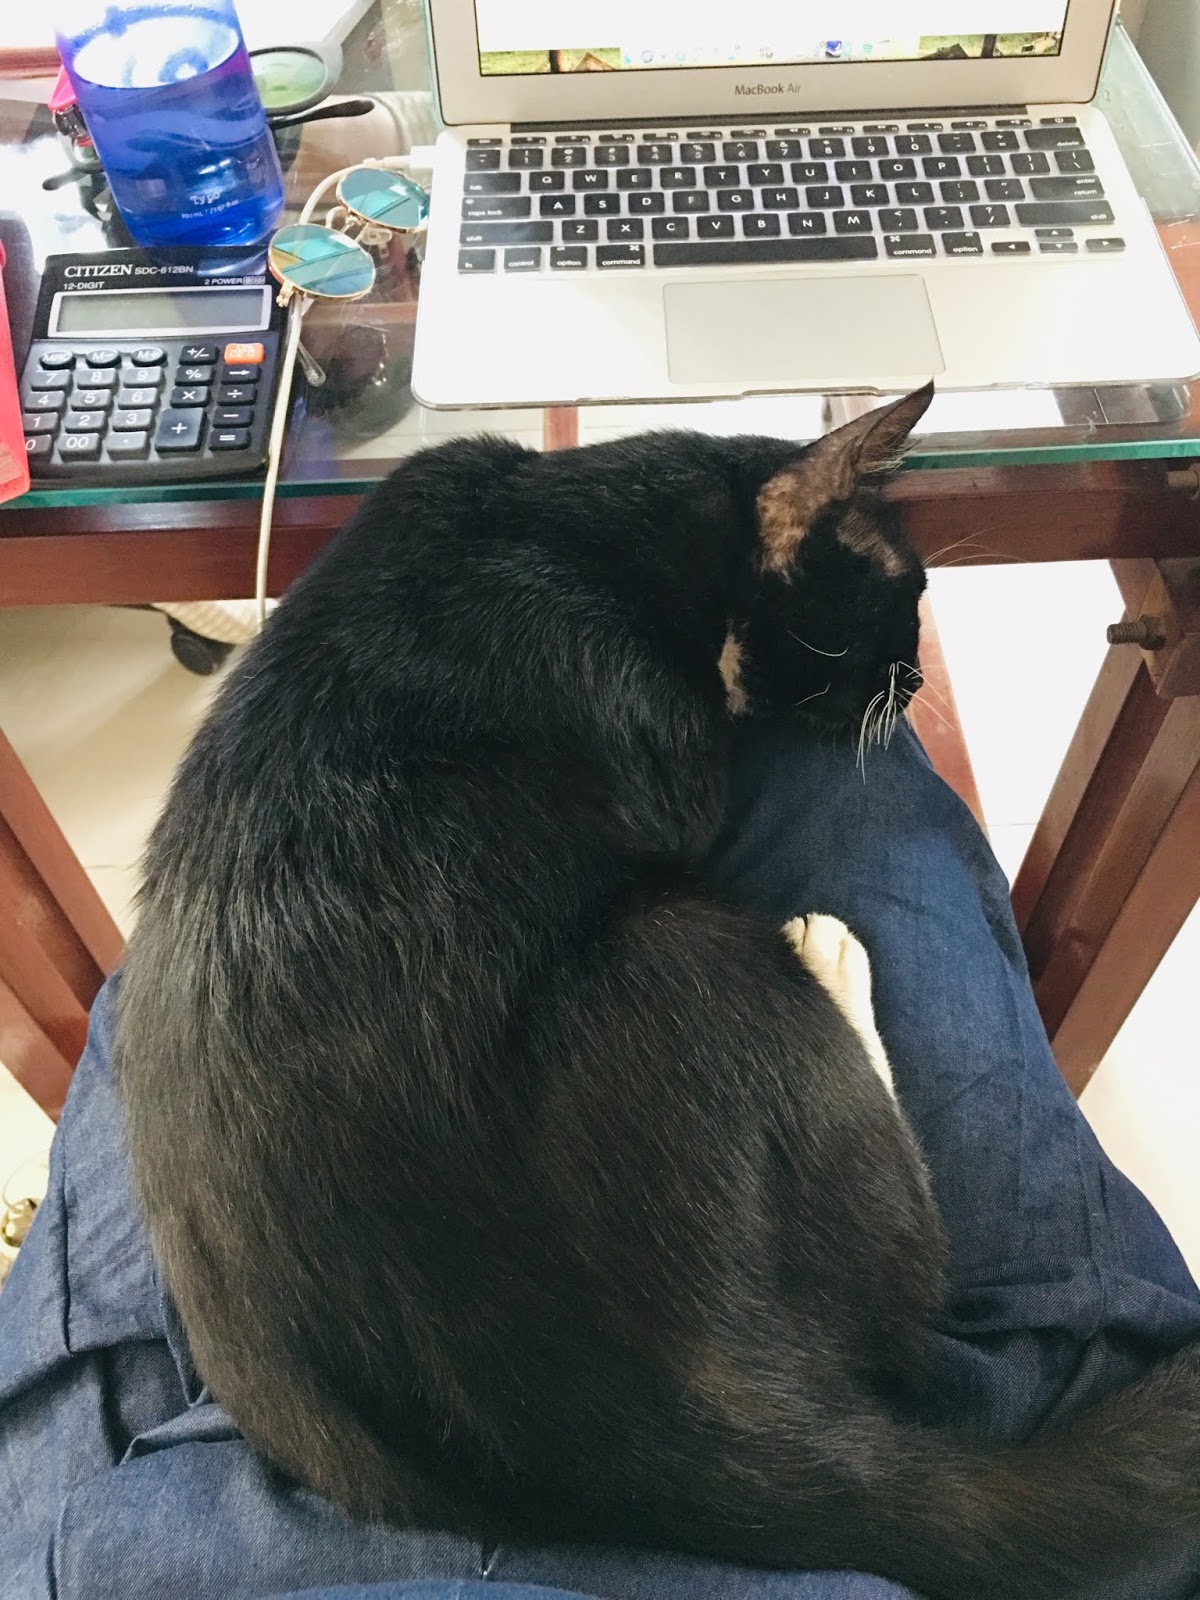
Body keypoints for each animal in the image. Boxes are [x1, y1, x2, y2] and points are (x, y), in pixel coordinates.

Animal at [114, 384, 1200, 1600]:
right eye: (900, 600)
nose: (917, 682)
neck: (578, 522)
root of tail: (611, 1445)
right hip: (688, 947)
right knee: (910, 1270)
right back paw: (830, 952)